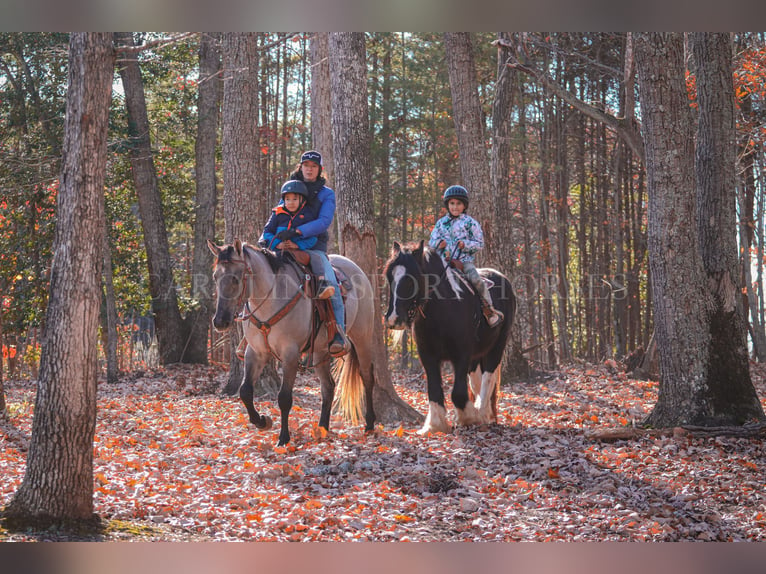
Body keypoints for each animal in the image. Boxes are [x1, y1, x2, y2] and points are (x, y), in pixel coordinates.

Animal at [210, 241, 378, 448]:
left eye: (235, 278)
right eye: (215, 276)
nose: (220, 321)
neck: (271, 297)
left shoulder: (290, 354)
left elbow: (284, 397)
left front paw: (284, 438)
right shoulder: (255, 352)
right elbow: (245, 391)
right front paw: (262, 422)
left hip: (362, 338)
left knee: (367, 377)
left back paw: (369, 424)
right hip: (321, 351)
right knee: (328, 387)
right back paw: (322, 428)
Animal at [384, 241, 516, 434]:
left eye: (411, 278)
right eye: (389, 277)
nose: (393, 319)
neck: (443, 309)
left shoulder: (462, 354)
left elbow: (458, 393)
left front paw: (468, 418)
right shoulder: (428, 356)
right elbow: (434, 390)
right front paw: (435, 424)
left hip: (498, 345)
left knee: (488, 378)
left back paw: (483, 413)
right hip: (477, 356)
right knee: (476, 381)